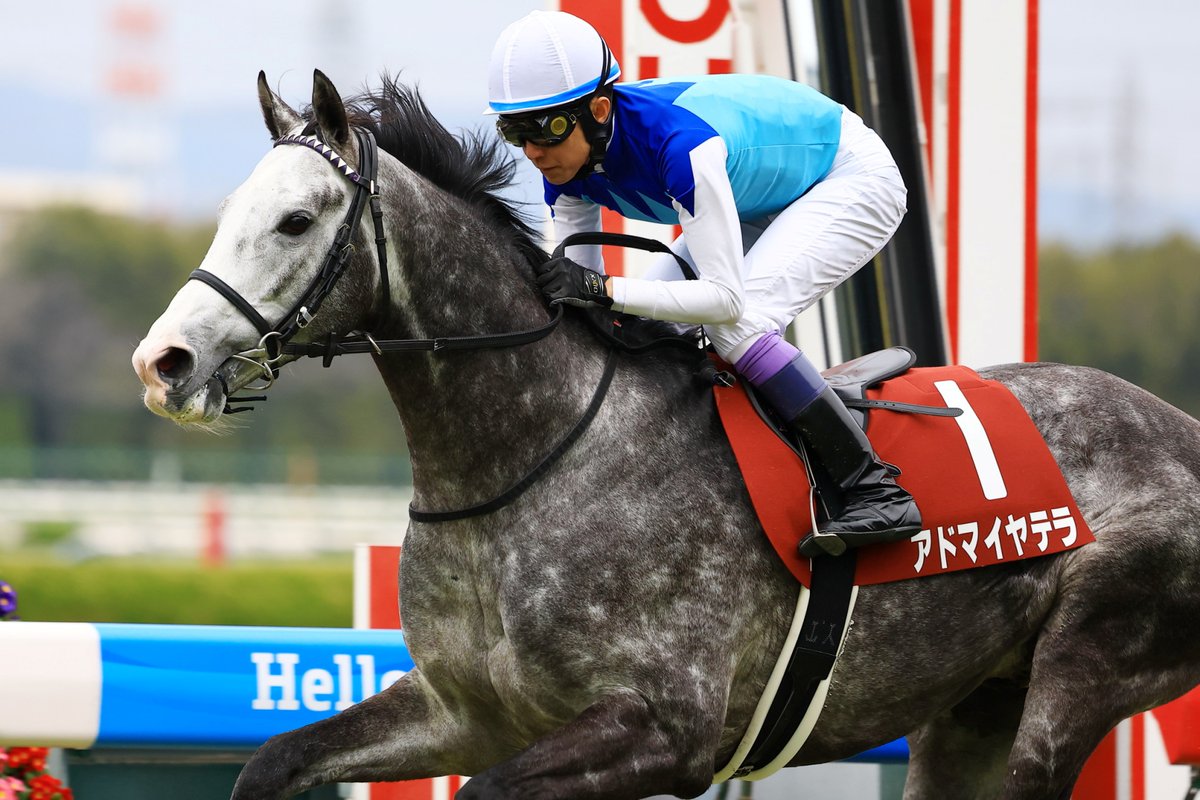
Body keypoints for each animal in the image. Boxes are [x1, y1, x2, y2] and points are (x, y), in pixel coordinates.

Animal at [131, 70, 1200, 800]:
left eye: (296, 219)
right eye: (231, 211)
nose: (163, 361)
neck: (526, 460)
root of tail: (1179, 425)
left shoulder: (661, 727)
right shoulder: (459, 711)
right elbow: (272, 760)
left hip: (1084, 668)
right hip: (970, 707)